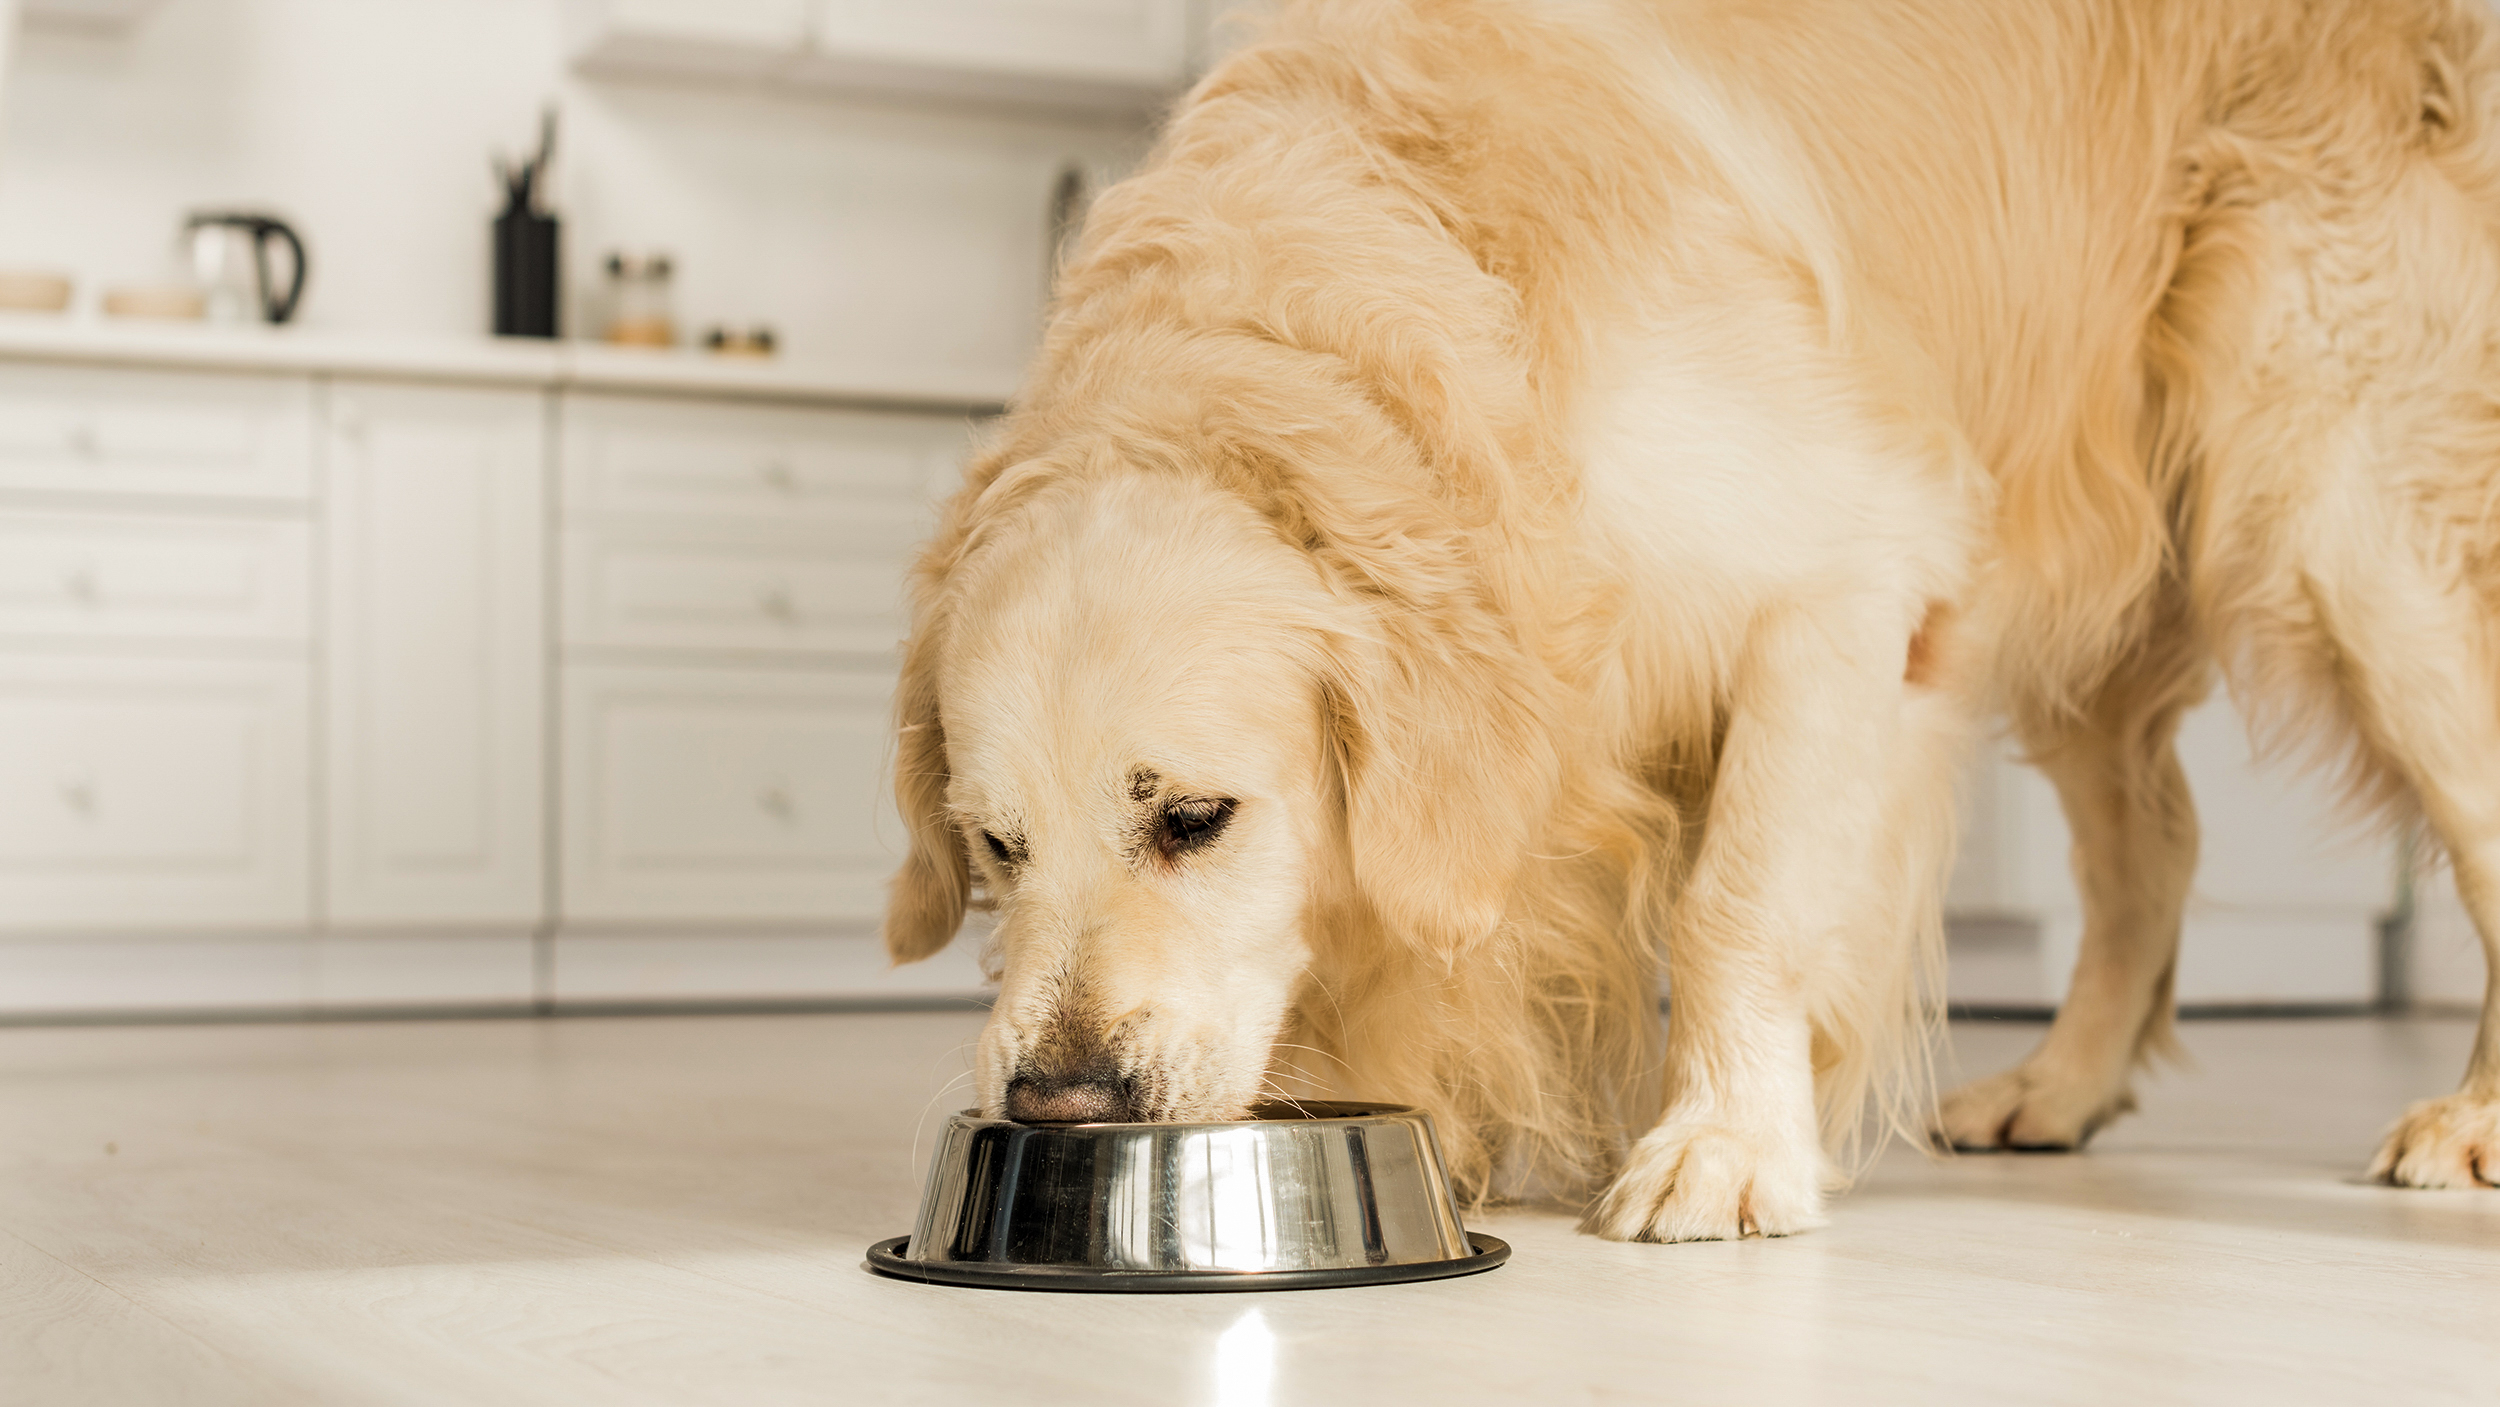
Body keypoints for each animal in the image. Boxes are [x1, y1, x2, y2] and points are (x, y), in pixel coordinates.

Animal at [890, 0, 2500, 1239]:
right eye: (995, 847)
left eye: (1194, 818)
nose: (1058, 1098)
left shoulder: (1844, 576)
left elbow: (1739, 900)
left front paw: (1725, 1147)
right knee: (2152, 846)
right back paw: (2057, 1086)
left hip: (2341, 506)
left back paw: (2472, 1119)